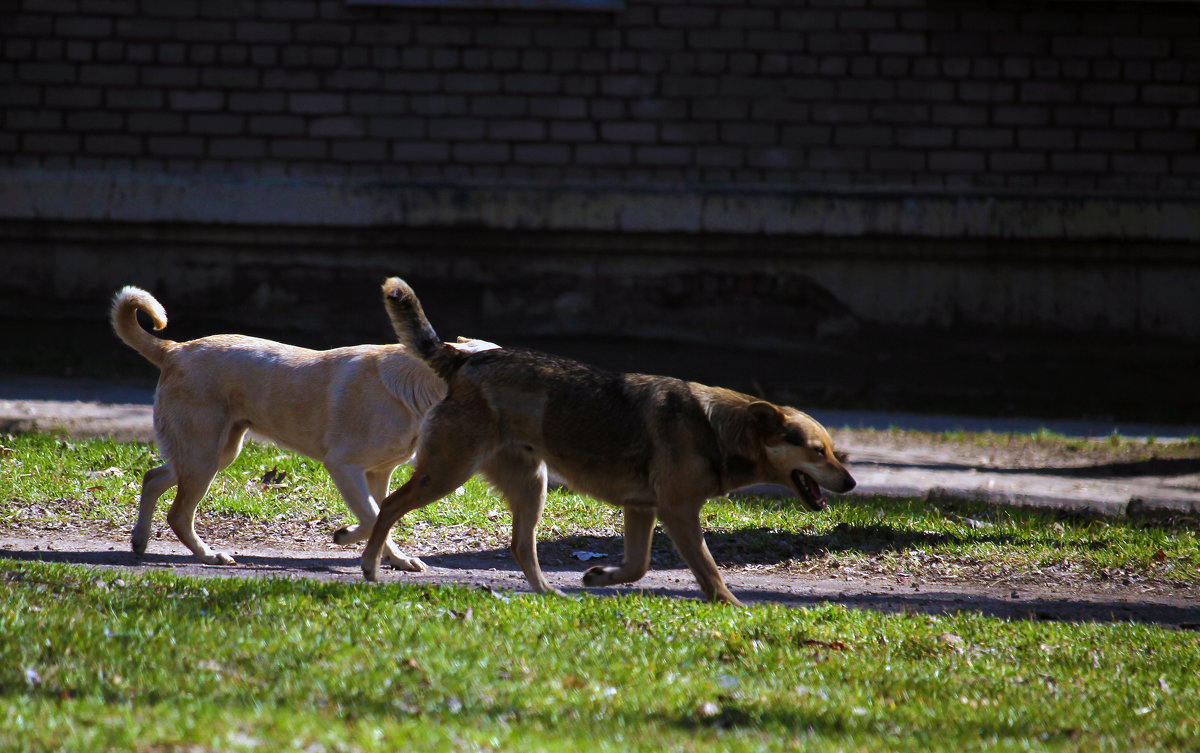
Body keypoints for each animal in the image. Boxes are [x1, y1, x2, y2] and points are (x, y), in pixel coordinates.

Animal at [360, 278, 859, 606]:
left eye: (836, 452)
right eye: (817, 452)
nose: (852, 483)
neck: (716, 429)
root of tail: (462, 360)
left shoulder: (642, 509)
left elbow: (638, 566)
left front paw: (600, 576)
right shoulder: (678, 513)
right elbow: (710, 571)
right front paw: (733, 608)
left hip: (531, 483)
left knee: (521, 545)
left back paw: (548, 593)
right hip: (448, 472)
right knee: (389, 506)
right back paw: (369, 567)